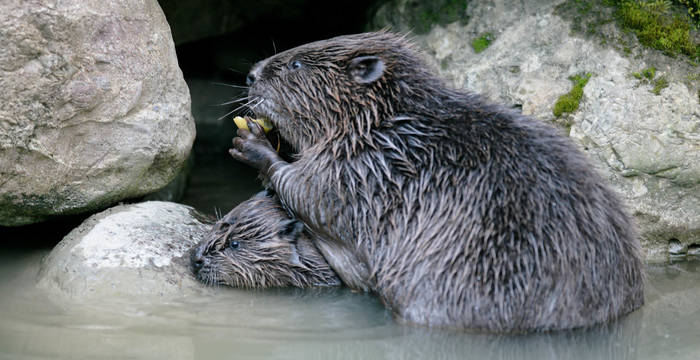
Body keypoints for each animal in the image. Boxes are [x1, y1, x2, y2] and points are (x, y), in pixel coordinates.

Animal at [231, 31, 644, 332]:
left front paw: (253, 142)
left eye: (296, 63)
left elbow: (309, 194)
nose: (251, 74)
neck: (387, 124)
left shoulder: (360, 171)